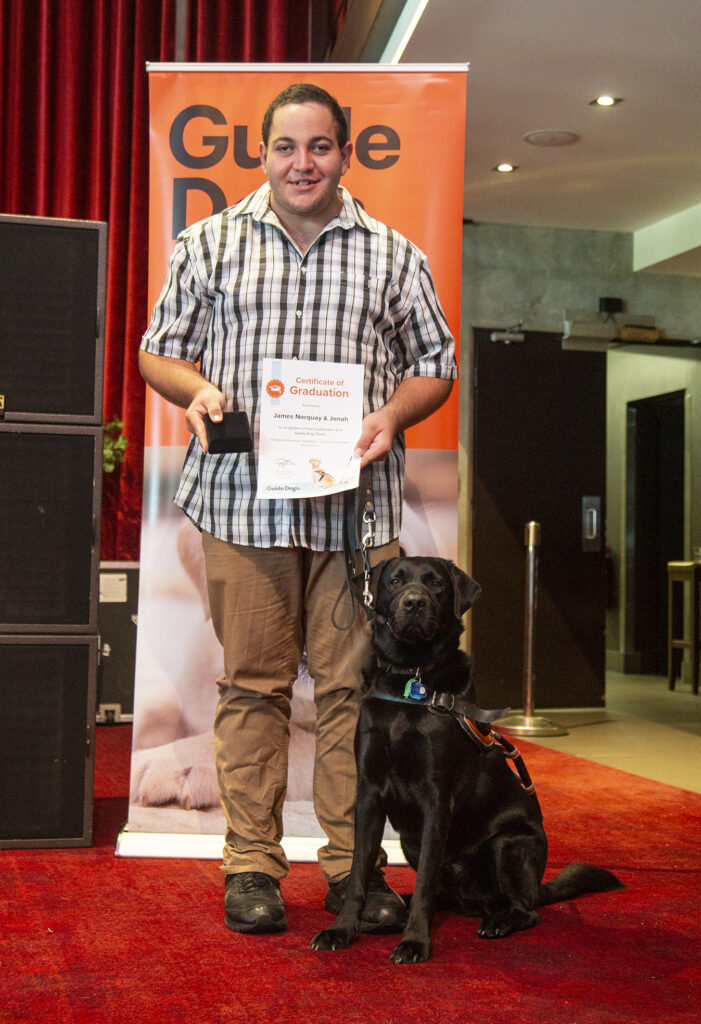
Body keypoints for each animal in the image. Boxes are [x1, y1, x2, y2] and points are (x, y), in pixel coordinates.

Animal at [311, 557, 622, 962]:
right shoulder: (369, 796)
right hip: (412, 843)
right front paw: (342, 931)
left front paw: (415, 942)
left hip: (510, 845)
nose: (414, 603)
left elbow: (425, 882)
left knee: (525, 910)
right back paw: (404, 907)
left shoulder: (436, 800)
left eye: (437, 584)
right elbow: (358, 874)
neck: (411, 679)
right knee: (451, 896)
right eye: (395, 581)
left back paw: (497, 922)